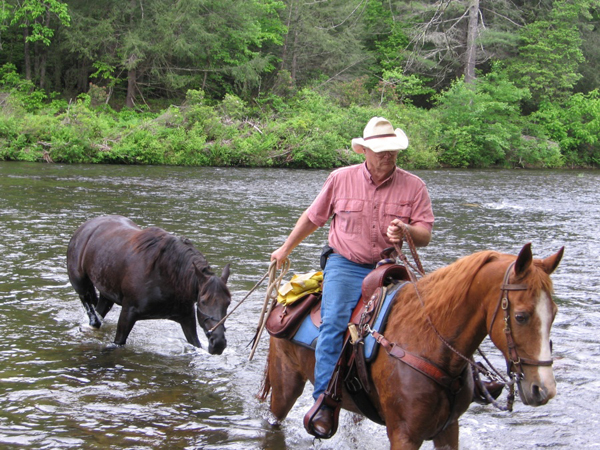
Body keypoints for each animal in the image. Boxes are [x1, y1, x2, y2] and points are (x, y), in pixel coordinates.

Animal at [67, 215, 231, 356]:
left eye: (228, 302)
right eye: (203, 301)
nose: (218, 343)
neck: (168, 275)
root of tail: (85, 227)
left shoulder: (187, 319)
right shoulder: (128, 313)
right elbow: (117, 343)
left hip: (107, 293)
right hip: (81, 284)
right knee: (91, 314)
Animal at [260, 244, 564, 448]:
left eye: (555, 312)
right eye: (521, 316)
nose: (543, 389)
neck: (428, 341)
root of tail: (284, 300)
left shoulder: (448, 429)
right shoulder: (404, 434)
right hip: (286, 384)